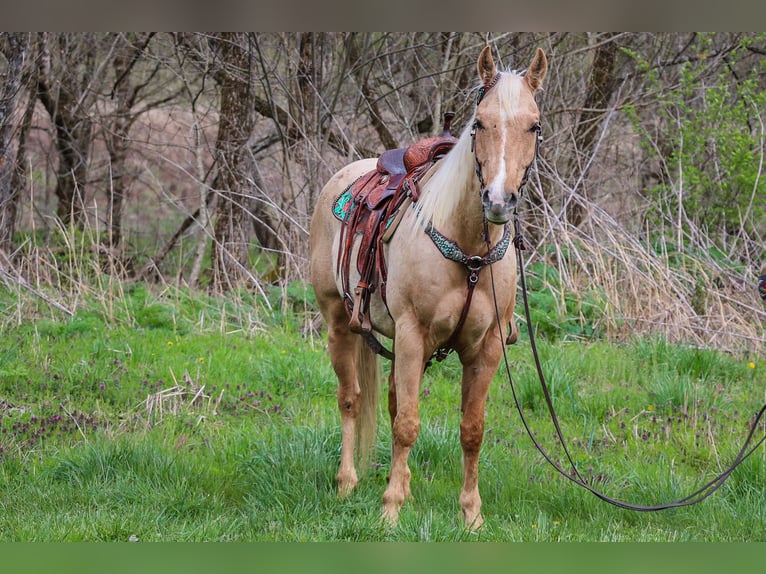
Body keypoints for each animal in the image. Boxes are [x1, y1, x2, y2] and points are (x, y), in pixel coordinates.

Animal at [308, 46, 548, 532]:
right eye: (479, 123)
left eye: (533, 126)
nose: (498, 201)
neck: (469, 252)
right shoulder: (414, 335)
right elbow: (407, 425)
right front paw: (390, 510)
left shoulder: (486, 348)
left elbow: (471, 430)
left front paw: (471, 515)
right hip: (340, 324)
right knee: (350, 400)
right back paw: (347, 483)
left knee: (390, 402)